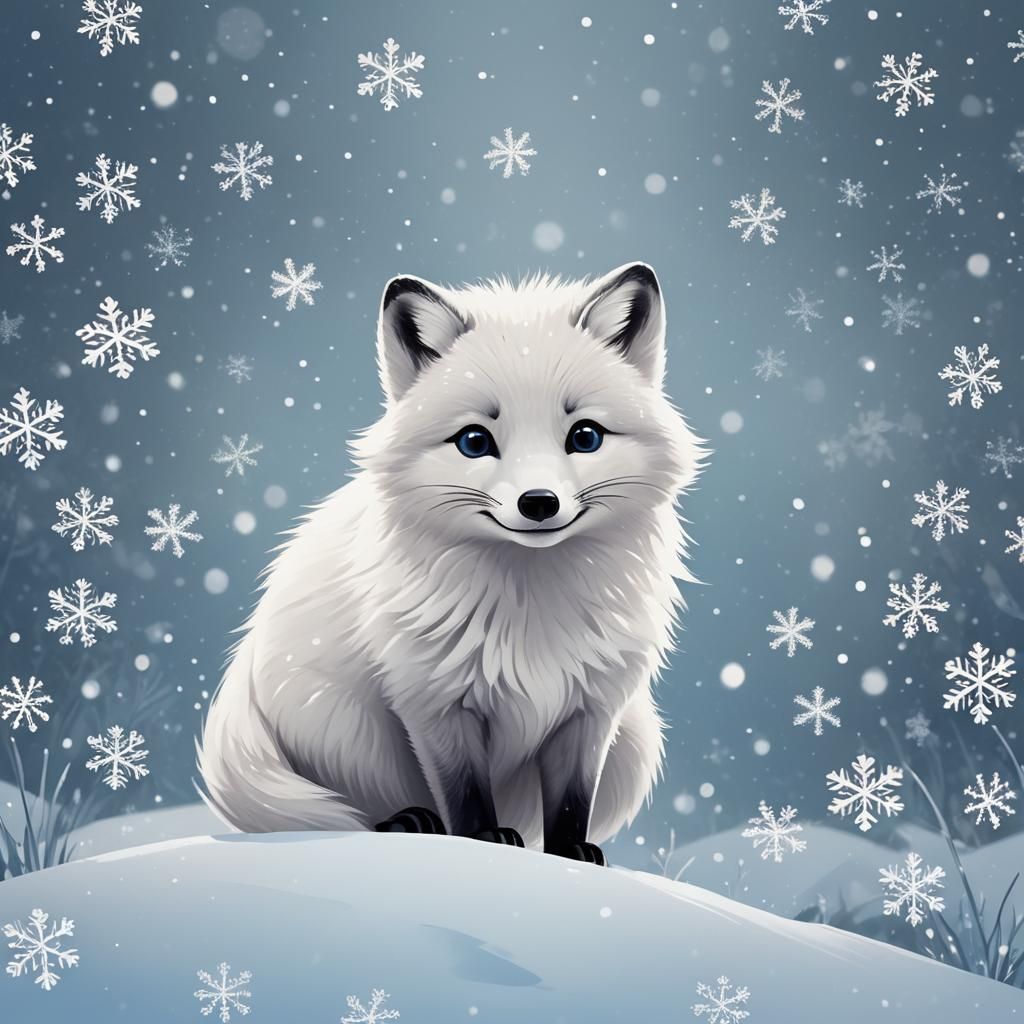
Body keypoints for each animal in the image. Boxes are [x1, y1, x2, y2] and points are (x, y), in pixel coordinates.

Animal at [197, 261, 707, 866]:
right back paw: (407, 822)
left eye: (585, 437)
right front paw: (484, 841)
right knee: (355, 809)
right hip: (348, 731)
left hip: (636, 741)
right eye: (474, 441)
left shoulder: (590, 712)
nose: (539, 503)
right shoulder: (434, 703)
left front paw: (569, 855)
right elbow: (463, 793)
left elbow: (569, 803)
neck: (531, 610)